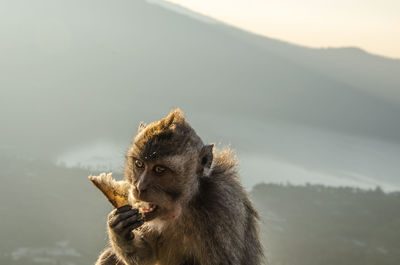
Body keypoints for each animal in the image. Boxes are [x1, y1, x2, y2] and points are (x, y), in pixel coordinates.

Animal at [93, 109, 262, 264]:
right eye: (139, 164)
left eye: (159, 169)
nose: (139, 187)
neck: (186, 204)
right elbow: (146, 256)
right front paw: (119, 230)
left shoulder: (221, 209)